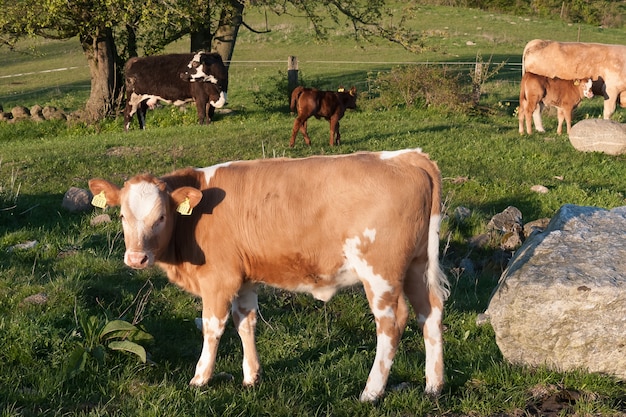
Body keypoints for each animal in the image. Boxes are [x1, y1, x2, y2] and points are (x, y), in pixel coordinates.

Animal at [89, 148, 448, 402]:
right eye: (122, 215)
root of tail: (405, 157)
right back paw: (433, 385)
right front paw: (251, 376)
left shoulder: (218, 280)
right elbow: (245, 322)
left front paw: (200, 378)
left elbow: (213, 328)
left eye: (161, 216)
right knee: (430, 312)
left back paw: (371, 392)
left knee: (391, 323)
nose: (136, 258)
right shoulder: (245, 278)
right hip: (417, 265)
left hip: (380, 272)